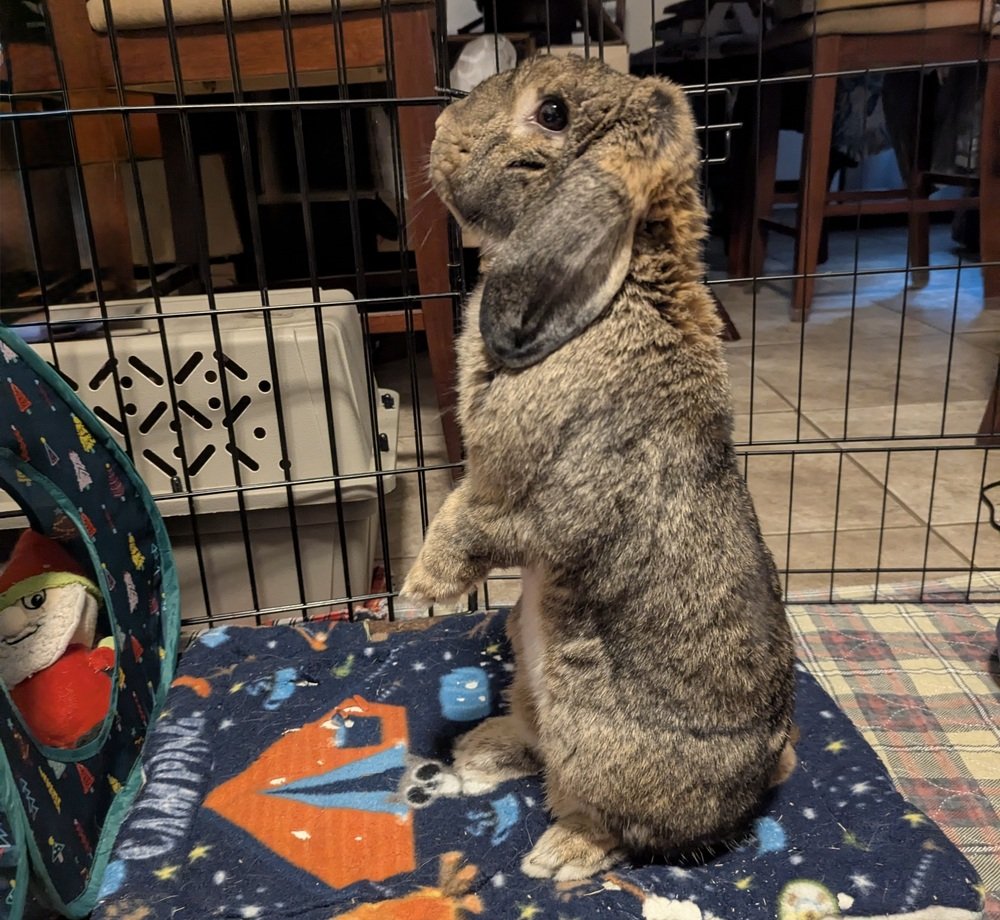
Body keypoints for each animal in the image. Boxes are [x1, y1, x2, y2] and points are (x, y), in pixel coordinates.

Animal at [401, 54, 795, 881]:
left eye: (550, 113)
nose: (441, 131)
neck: (615, 297)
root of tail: (758, 782)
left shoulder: (519, 495)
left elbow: (464, 522)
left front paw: (419, 591)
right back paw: (479, 749)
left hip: (590, 724)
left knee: (615, 826)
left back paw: (559, 855)